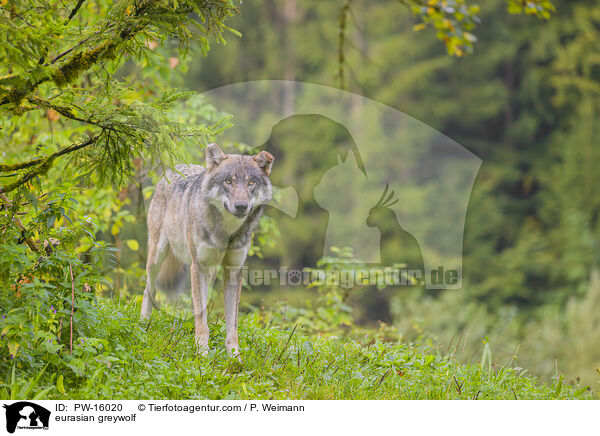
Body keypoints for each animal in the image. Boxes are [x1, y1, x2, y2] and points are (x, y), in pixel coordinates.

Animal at [141, 143, 274, 354]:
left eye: (251, 182)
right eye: (228, 181)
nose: (241, 206)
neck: (227, 231)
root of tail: (176, 167)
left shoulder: (233, 270)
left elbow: (232, 324)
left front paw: (234, 356)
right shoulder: (198, 266)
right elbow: (201, 317)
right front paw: (202, 353)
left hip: (210, 272)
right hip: (157, 257)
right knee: (149, 289)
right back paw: (143, 323)